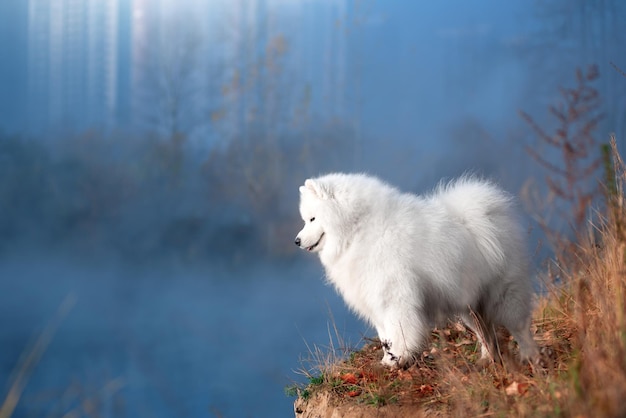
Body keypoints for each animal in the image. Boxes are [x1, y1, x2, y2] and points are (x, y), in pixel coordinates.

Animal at [294, 172, 540, 366]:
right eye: (305, 220)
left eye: (312, 218)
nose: (296, 241)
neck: (358, 229)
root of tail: (488, 213)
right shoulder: (376, 300)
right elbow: (385, 336)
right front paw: (388, 359)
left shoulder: (395, 297)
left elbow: (398, 331)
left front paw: (399, 357)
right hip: (468, 306)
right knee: (485, 333)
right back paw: (487, 359)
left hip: (504, 294)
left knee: (519, 327)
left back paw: (529, 357)